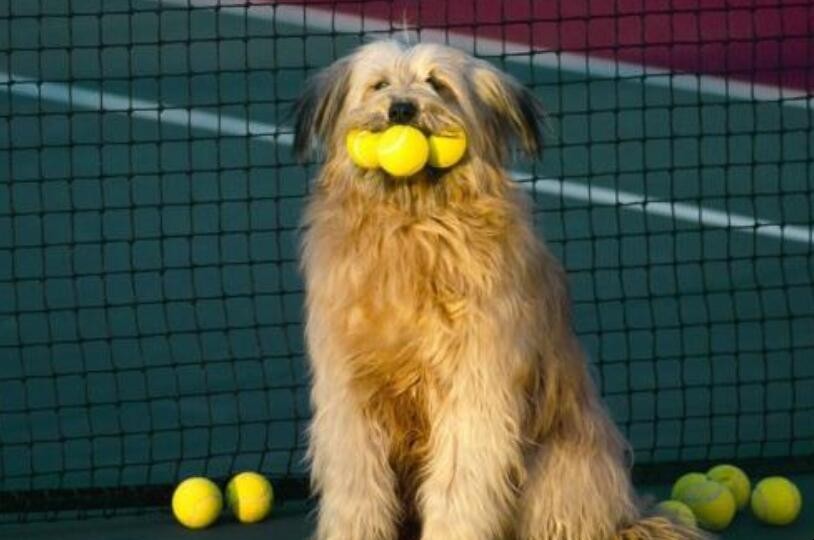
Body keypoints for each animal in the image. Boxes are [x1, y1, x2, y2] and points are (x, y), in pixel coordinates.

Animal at [294, 41, 708, 540]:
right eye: (378, 85)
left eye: (438, 84)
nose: (402, 109)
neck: (413, 224)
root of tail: (627, 516)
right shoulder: (348, 389)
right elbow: (357, 481)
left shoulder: (476, 384)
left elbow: (461, 478)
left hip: (560, 469)